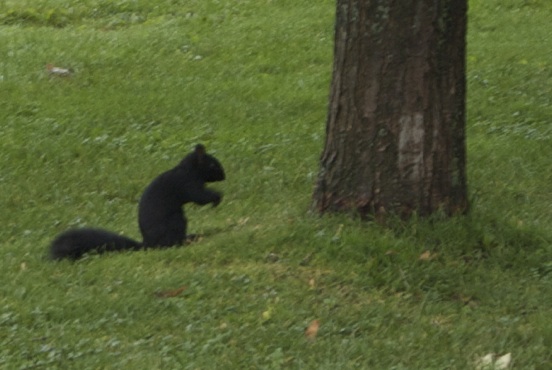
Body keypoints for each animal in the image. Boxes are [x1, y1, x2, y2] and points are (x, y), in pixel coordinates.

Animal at [49, 145, 225, 260]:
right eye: (212, 164)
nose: (224, 176)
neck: (188, 169)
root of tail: (148, 244)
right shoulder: (186, 183)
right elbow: (199, 197)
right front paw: (217, 198)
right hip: (176, 221)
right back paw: (189, 239)